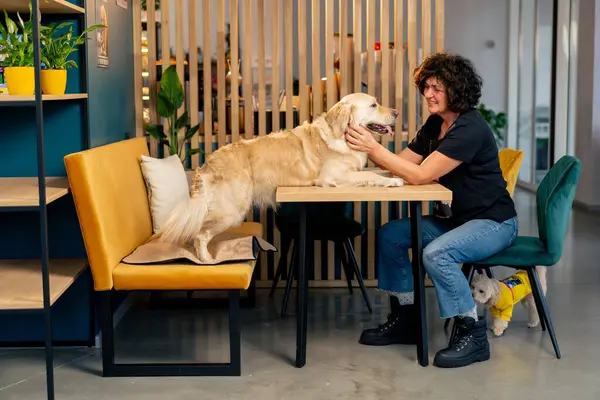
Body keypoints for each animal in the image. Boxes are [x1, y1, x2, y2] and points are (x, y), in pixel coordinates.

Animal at [158, 92, 404, 264]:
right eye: (373, 104)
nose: (397, 112)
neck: (341, 133)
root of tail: (208, 162)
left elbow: (376, 171)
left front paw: (392, 175)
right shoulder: (332, 176)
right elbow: (369, 173)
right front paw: (393, 181)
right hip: (231, 211)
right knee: (199, 234)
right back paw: (207, 260)